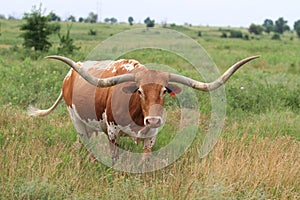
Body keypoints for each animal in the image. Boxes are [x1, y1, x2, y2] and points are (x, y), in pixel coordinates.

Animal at [29, 54, 258, 162]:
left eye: (164, 91)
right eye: (139, 91)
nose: (153, 120)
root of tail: (70, 74)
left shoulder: (152, 136)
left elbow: (146, 159)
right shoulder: (112, 131)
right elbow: (115, 156)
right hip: (76, 119)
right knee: (85, 141)